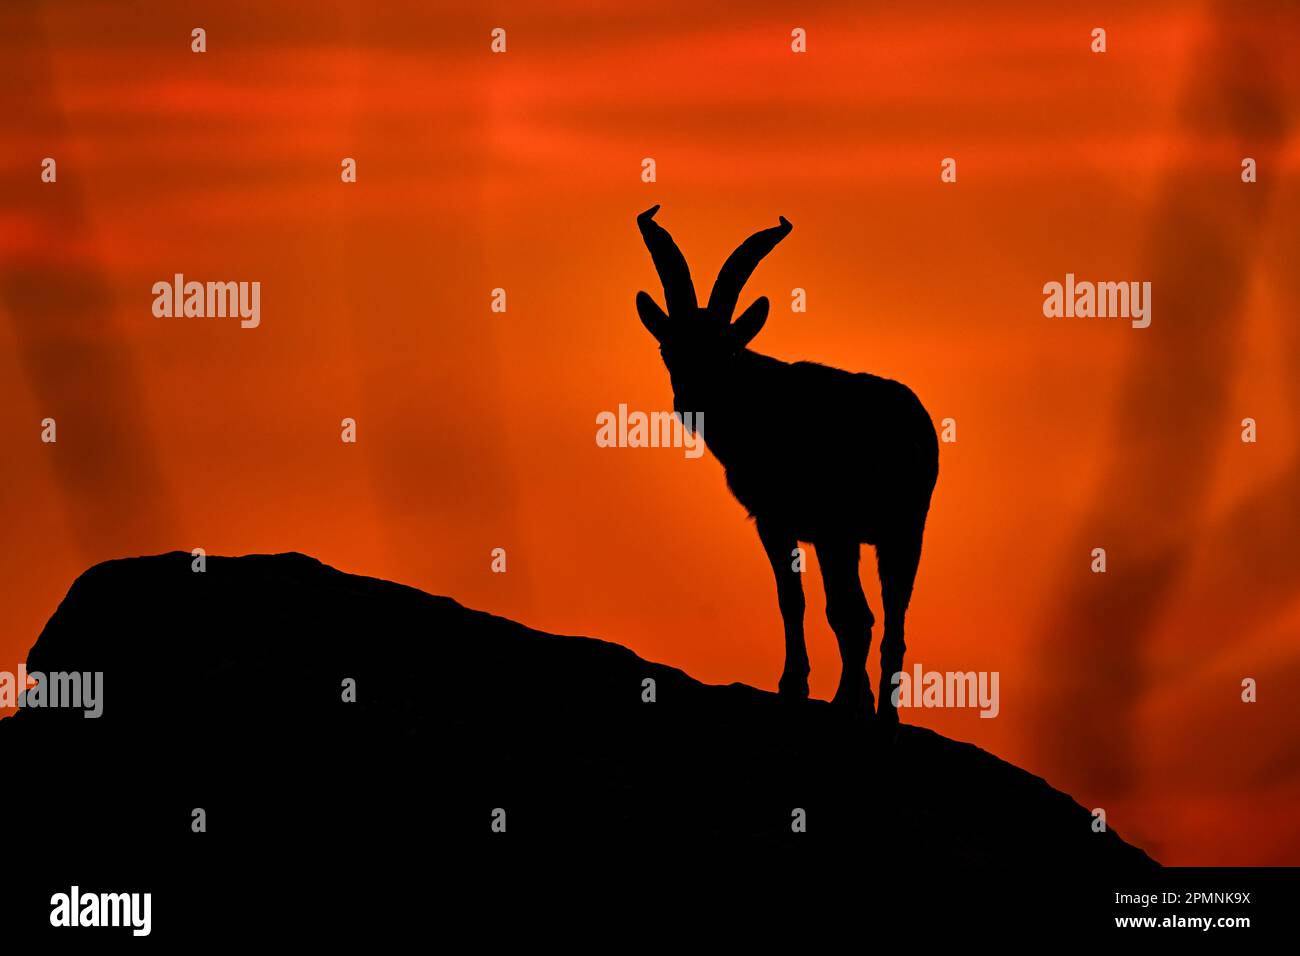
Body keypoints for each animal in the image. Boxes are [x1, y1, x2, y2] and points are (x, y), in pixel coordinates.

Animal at [635, 205, 938, 723]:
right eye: (667, 349)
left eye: (727, 349)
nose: (690, 400)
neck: (760, 402)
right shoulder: (783, 525)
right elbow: (790, 600)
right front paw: (797, 685)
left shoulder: (805, 523)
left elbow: (823, 608)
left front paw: (812, 690)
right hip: (877, 534)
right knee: (875, 617)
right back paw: (876, 708)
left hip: (878, 531)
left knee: (865, 616)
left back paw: (863, 707)